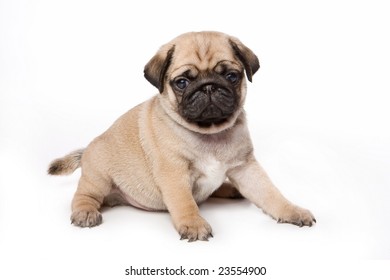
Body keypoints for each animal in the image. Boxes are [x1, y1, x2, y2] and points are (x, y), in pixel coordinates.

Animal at [49, 30, 316, 241]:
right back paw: (85, 212)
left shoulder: (246, 167)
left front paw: (292, 211)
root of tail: (86, 151)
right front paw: (194, 224)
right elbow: (184, 203)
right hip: (99, 177)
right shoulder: (174, 174)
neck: (210, 133)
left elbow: (271, 194)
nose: (208, 87)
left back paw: (229, 189)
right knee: (84, 195)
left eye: (231, 76)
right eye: (182, 82)